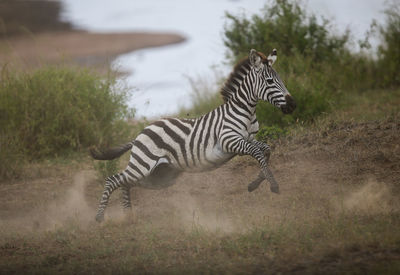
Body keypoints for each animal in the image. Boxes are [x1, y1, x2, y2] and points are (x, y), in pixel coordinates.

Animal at [91, 49, 296, 222]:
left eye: (280, 79)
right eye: (270, 81)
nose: (293, 105)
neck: (246, 111)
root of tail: (138, 136)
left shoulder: (249, 139)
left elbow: (266, 150)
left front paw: (255, 184)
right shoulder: (229, 141)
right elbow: (258, 153)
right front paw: (273, 185)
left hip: (160, 175)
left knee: (125, 183)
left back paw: (128, 215)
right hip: (143, 165)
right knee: (113, 180)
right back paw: (100, 217)